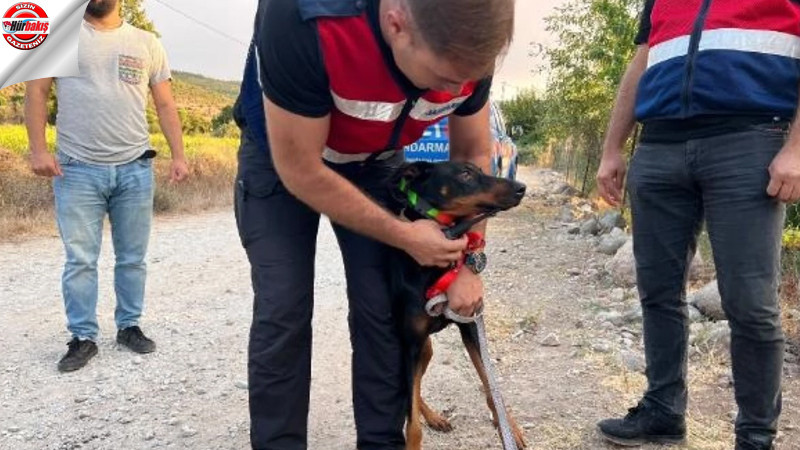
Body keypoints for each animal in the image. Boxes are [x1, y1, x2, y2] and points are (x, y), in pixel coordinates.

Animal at [390, 162, 528, 450]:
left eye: (480, 170)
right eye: (465, 174)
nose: (522, 187)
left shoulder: (471, 325)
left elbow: (491, 387)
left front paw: (509, 428)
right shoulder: (410, 345)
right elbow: (412, 420)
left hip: (427, 351)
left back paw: (434, 417)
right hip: (412, 350)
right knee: (411, 391)